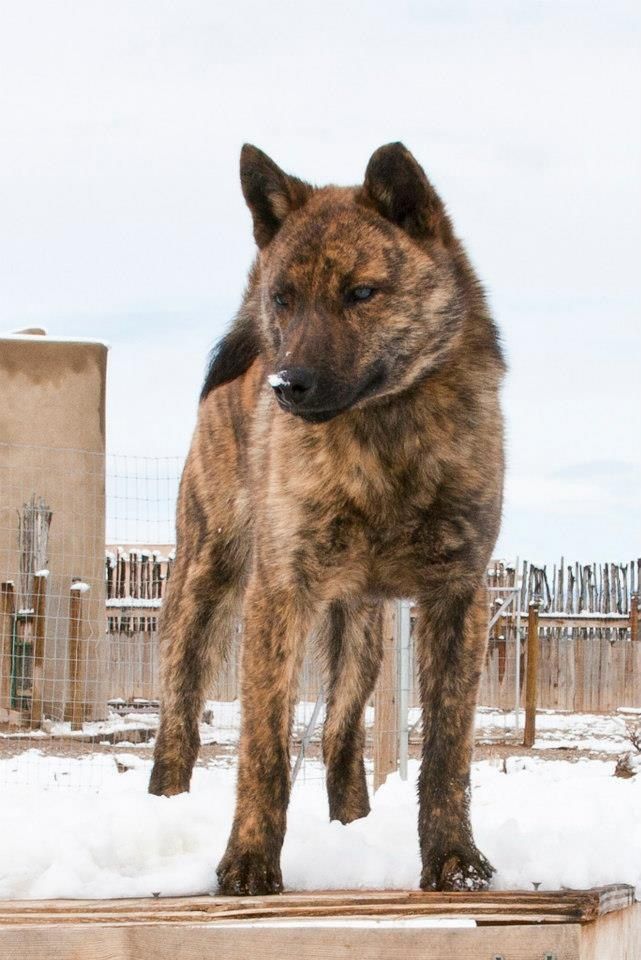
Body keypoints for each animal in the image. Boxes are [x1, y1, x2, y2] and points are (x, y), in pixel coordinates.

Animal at [148, 141, 502, 892]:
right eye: (284, 298)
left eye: (361, 293)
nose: (287, 386)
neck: (384, 435)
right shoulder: (278, 595)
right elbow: (264, 749)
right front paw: (248, 862)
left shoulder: (457, 596)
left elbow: (447, 754)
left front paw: (455, 861)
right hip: (203, 587)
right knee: (178, 720)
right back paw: (161, 810)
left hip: (360, 635)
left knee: (341, 735)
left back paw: (354, 828)